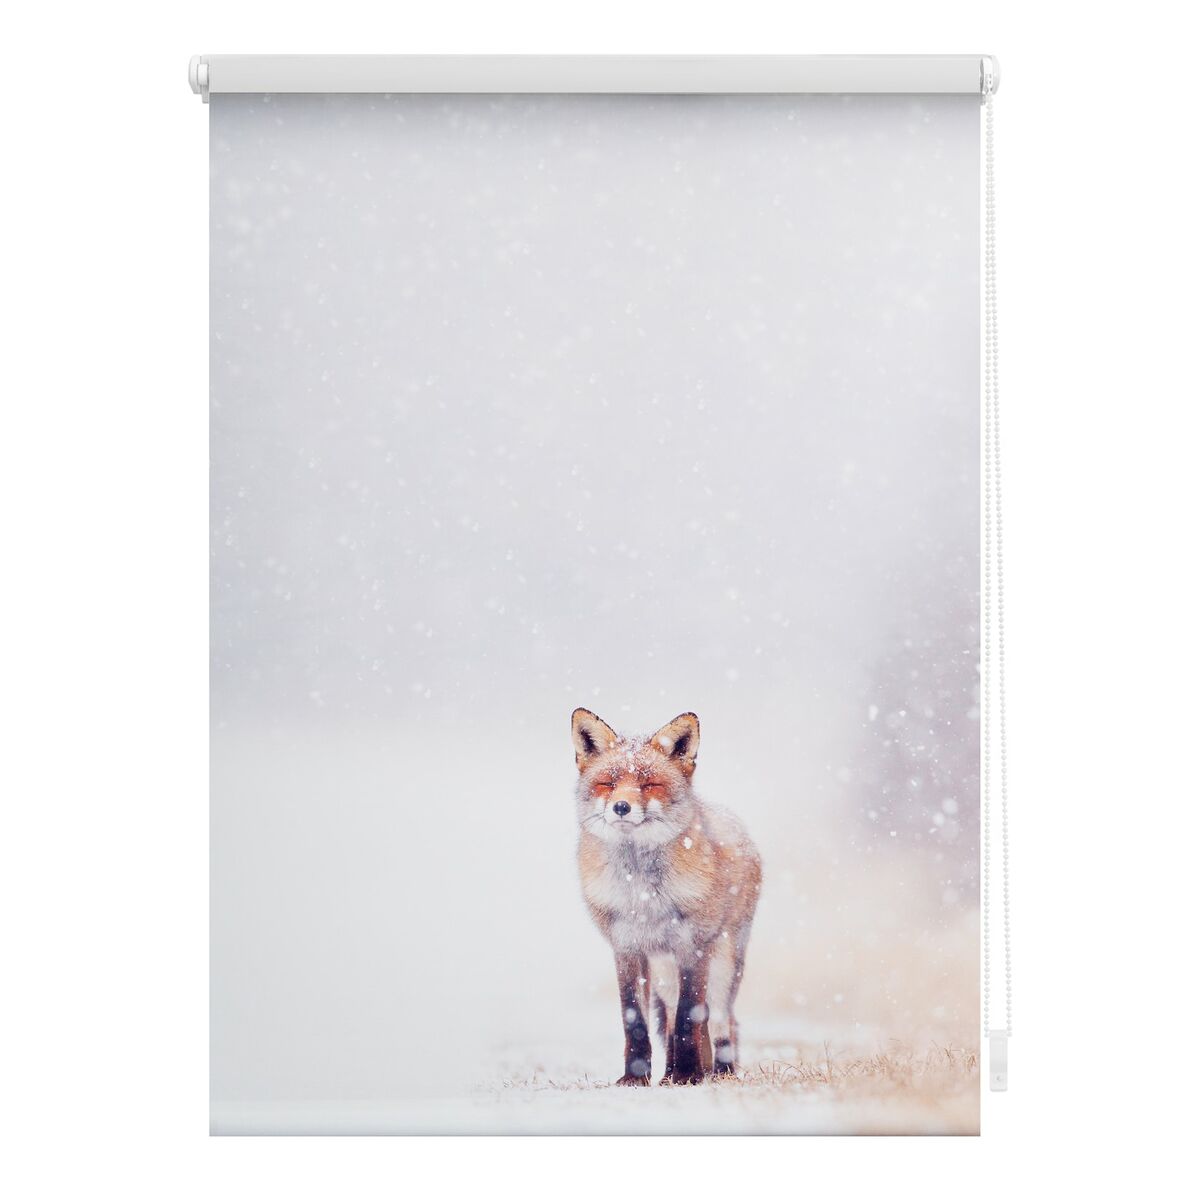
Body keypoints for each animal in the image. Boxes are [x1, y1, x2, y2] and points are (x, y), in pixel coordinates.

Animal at [572, 707, 762, 1086]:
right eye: (608, 783)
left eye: (649, 785)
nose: (621, 806)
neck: (642, 894)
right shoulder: (626, 948)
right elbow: (636, 1019)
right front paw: (635, 1078)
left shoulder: (693, 945)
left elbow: (691, 1016)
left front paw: (690, 1075)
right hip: (663, 970)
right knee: (673, 1017)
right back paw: (670, 1073)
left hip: (723, 962)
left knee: (721, 1020)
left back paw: (718, 1072)